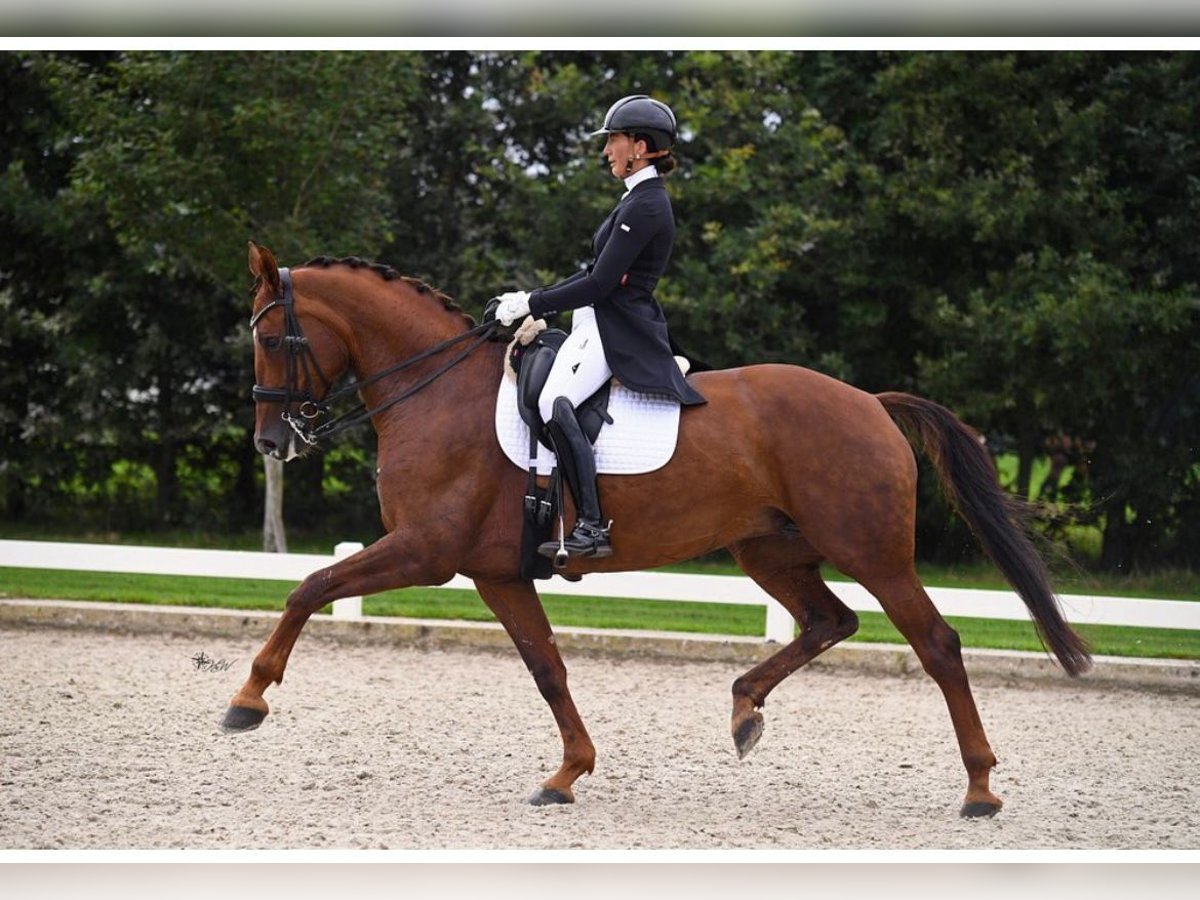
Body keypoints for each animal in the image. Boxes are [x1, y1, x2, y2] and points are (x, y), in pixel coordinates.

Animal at [226, 243, 1099, 820]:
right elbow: (547, 668)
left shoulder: (426, 552)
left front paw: (248, 700)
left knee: (937, 645)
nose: (272, 443)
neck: (435, 391)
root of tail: (869, 402)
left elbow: (310, 587)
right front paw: (568, 773)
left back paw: (980, 788)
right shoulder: (496, 572)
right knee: (829, 619)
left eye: (269, 337)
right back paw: (745, 710)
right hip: (768, 548)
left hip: (873, 552)